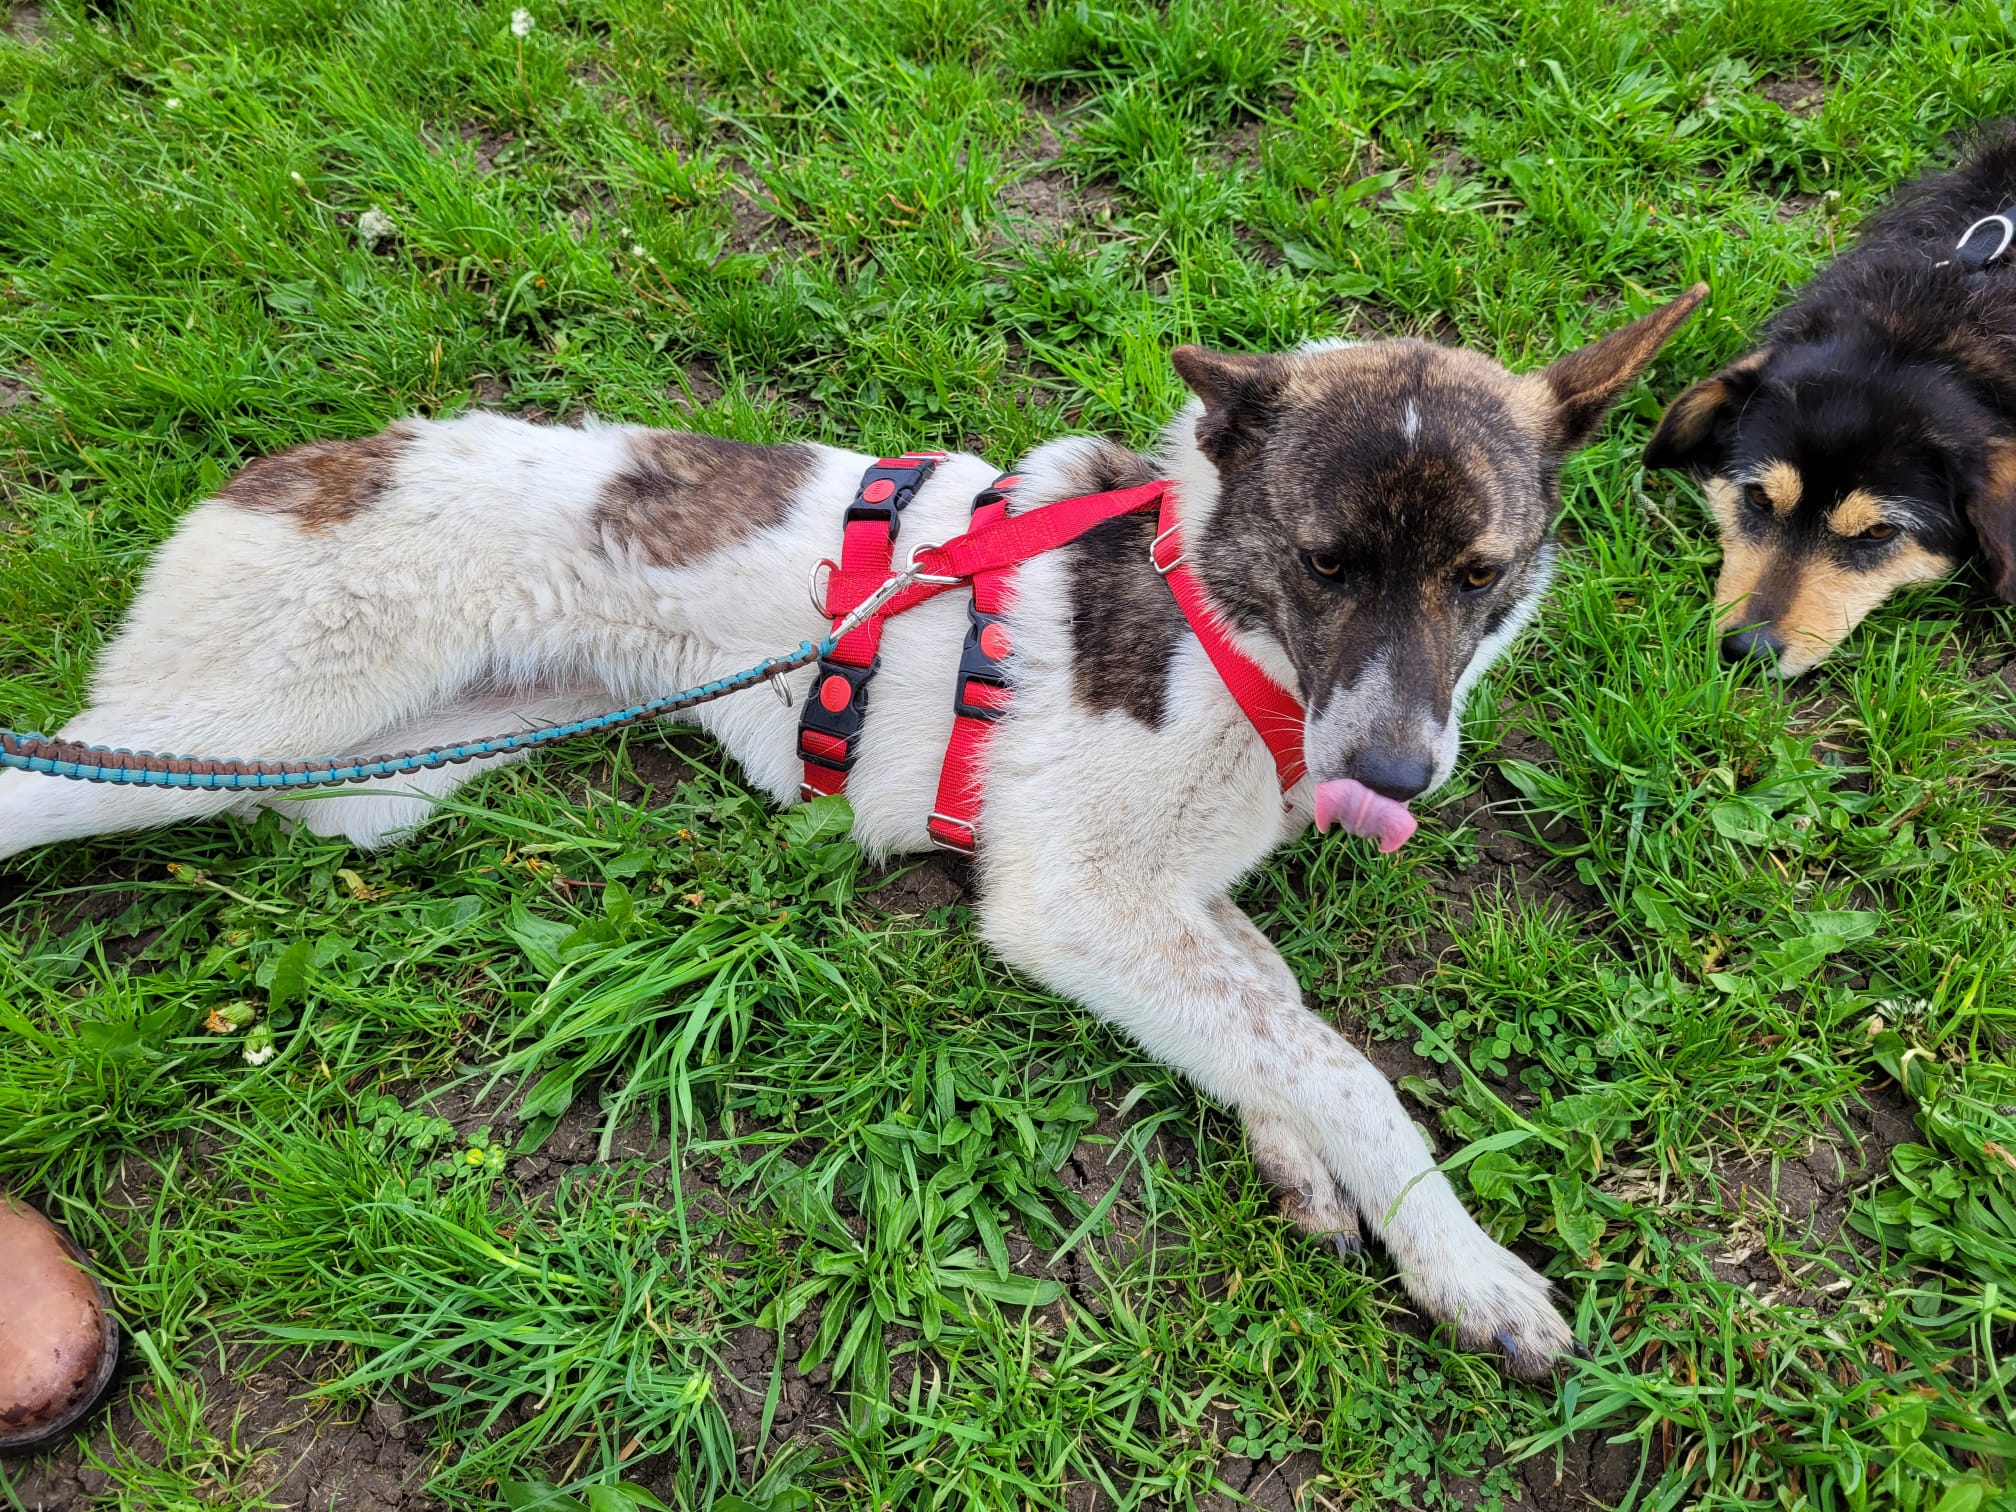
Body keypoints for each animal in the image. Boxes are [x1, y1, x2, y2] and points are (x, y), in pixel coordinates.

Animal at [0, 289, 1702, 1375]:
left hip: (384, 779)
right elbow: (1342, 1064)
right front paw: (1464, 1265)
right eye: (1330, 561)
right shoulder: (1071, 901)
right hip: (229, 727)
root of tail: (308, 459)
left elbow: (1273, 1012)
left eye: (1479, 575)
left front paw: (1302, 1165)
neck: (1224, 620)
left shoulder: (1161, 901)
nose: (1400, 779)